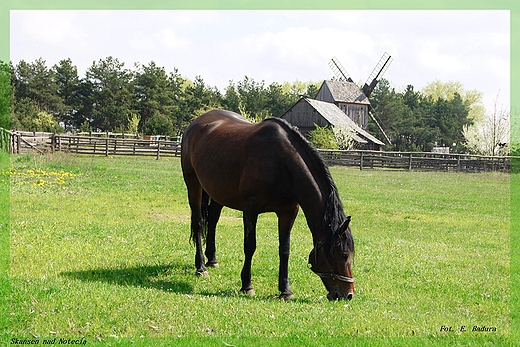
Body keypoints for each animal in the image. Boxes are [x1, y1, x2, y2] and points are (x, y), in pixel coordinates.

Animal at [179, 110, 354, 300]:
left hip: (218, 192)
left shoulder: (288, 212)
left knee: (212, 221)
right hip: (193, 185)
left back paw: (212, 260)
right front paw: (246, 285)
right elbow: (250, 246)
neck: (281, 162)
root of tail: (195, 125)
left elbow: (285, 250)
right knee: (198, 223)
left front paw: (285, 290)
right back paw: (201, 267)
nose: (348, 294)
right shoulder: (250, 209)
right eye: (343, 254)